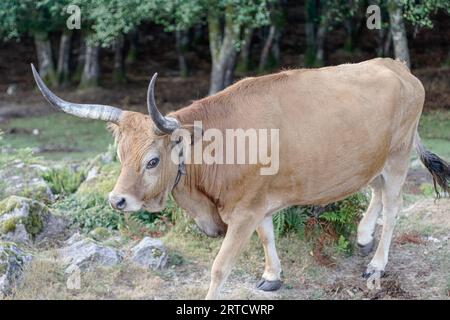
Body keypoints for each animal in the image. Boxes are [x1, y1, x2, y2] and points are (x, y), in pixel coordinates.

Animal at [29, 58, 448, 300]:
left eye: (151, 161)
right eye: (119, 155)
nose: (117, 200)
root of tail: (398, 66)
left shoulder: (244, 212)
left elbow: (220, 266)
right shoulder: (257, 203)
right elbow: (268, 236)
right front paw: (272, 276)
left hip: (398, 158)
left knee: (393, 207)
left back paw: (376, 264)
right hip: (373, 159)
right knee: (376, 191)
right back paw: (362, 238)